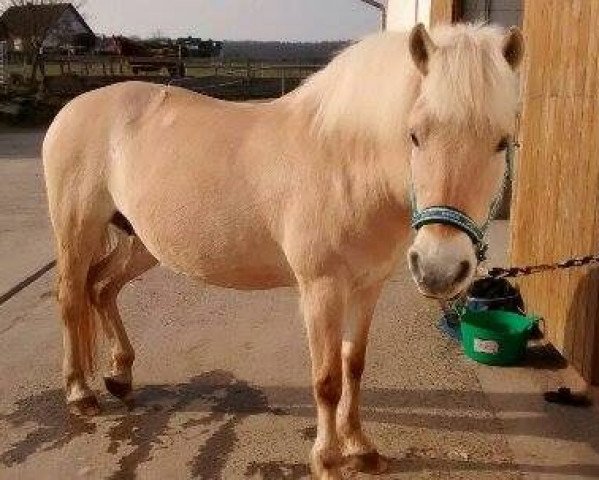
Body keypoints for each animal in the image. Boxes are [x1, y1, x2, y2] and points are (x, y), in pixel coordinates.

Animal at [44, 23, 524, 480]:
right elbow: (328, 379)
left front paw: (361, 449)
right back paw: (80, 393)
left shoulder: (367, 287)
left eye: (503, 141)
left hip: (140, 242)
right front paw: (328, 460)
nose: (440, 269)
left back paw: (120, 376)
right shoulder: (321, 289)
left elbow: (354, 366)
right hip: (77, 230)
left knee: (101, 288)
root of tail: (73, 109)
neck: (347, 163)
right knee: (70, 298)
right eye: (415, 135)